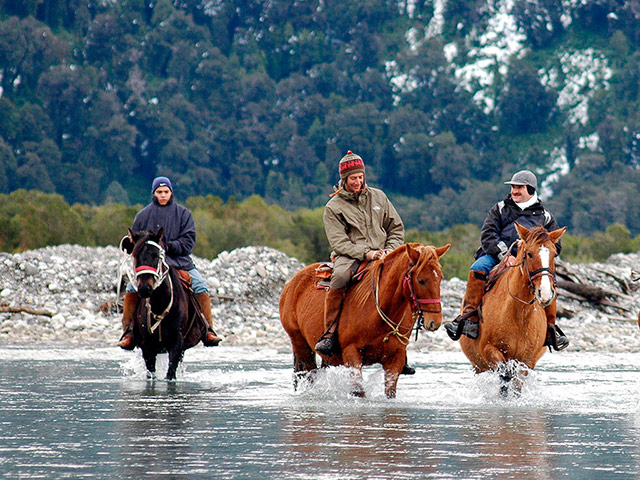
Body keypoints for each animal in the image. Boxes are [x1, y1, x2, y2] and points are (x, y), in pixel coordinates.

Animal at [279, 243, 450, 398]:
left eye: (440, 277)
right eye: (421, 280)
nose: (435, 321)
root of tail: (292, 283)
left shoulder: (396, 358)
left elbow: (390, 392)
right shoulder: (352, 353)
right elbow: (358, 391)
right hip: (301, 344)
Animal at [459, 223, 566, 394]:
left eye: (554, 254)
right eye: (529, 254)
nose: (545, 293)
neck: (519, 315)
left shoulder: (528, 360)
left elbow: (516, 384)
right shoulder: (489, 349)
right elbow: (505, 374)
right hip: (478, 365)